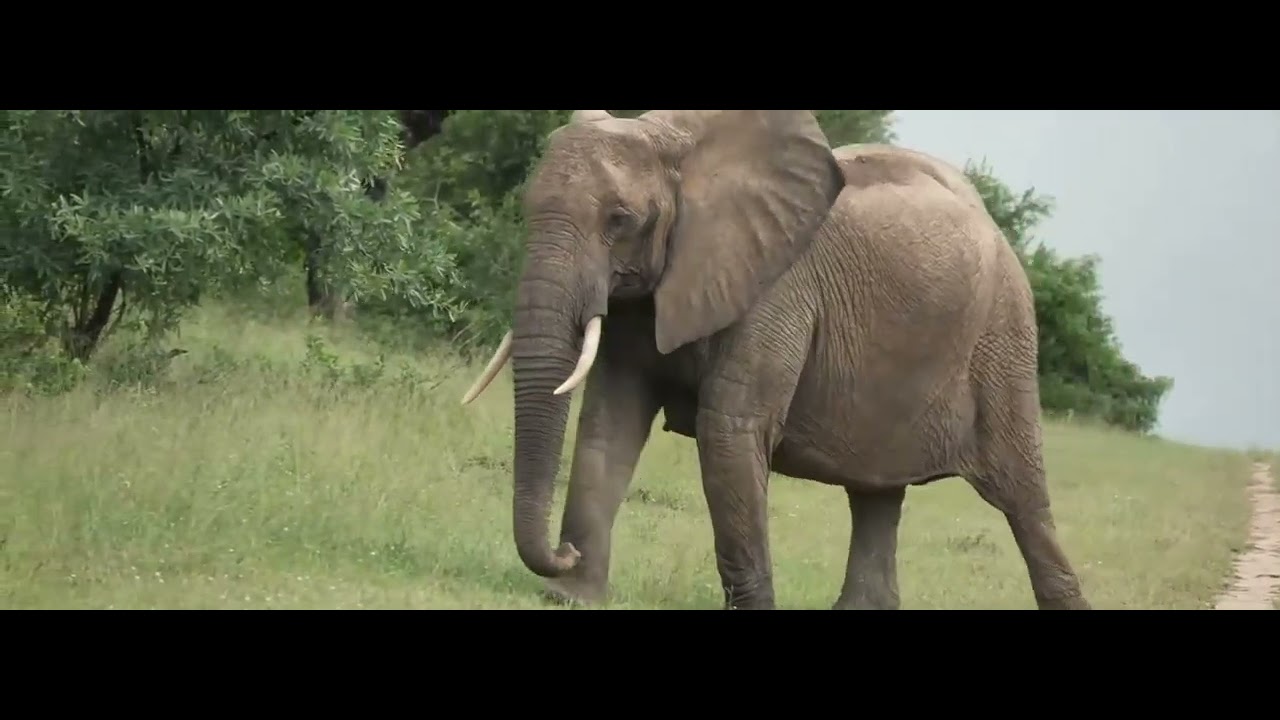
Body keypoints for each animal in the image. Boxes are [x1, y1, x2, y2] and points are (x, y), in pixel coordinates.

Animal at [459, 109, 1091, 610]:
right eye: (527, 206)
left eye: (619, 220)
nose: (562, 552)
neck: (676, 141)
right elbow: (608, 422)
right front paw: (570, 597)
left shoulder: (778, 288)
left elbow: (728, 430)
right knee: (876, 493)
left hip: (1003, 339)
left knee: (1022, 498)